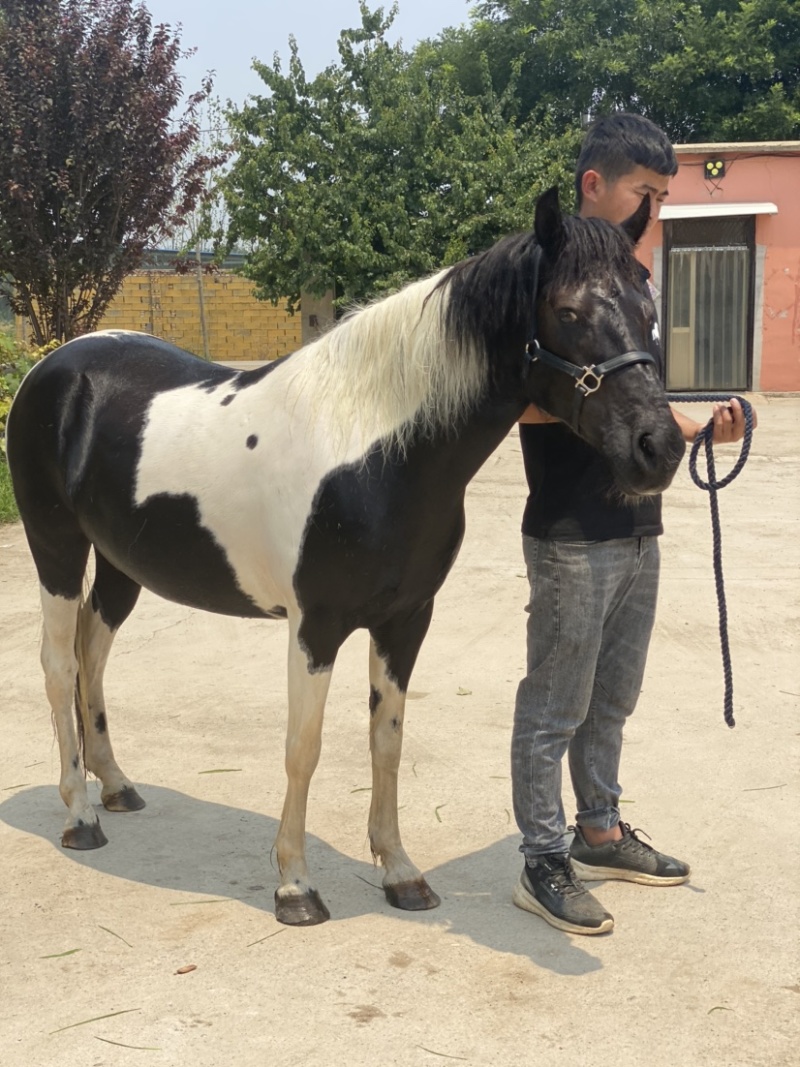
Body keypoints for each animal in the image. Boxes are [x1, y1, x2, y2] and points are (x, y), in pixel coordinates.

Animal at [6, 187, 685, 926]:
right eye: (567, 312)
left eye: (648, 309)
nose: (659, 447)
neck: (374, 452)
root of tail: (55, 366)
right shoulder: (316, 626)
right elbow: (303, 749)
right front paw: (295, 885)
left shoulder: (405, 621)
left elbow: (386, 740)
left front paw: (401, 872)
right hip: (55, 547)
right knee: (58, 663)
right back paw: (79, 815)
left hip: (120, 564)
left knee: (93, 654)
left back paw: (116, 786)